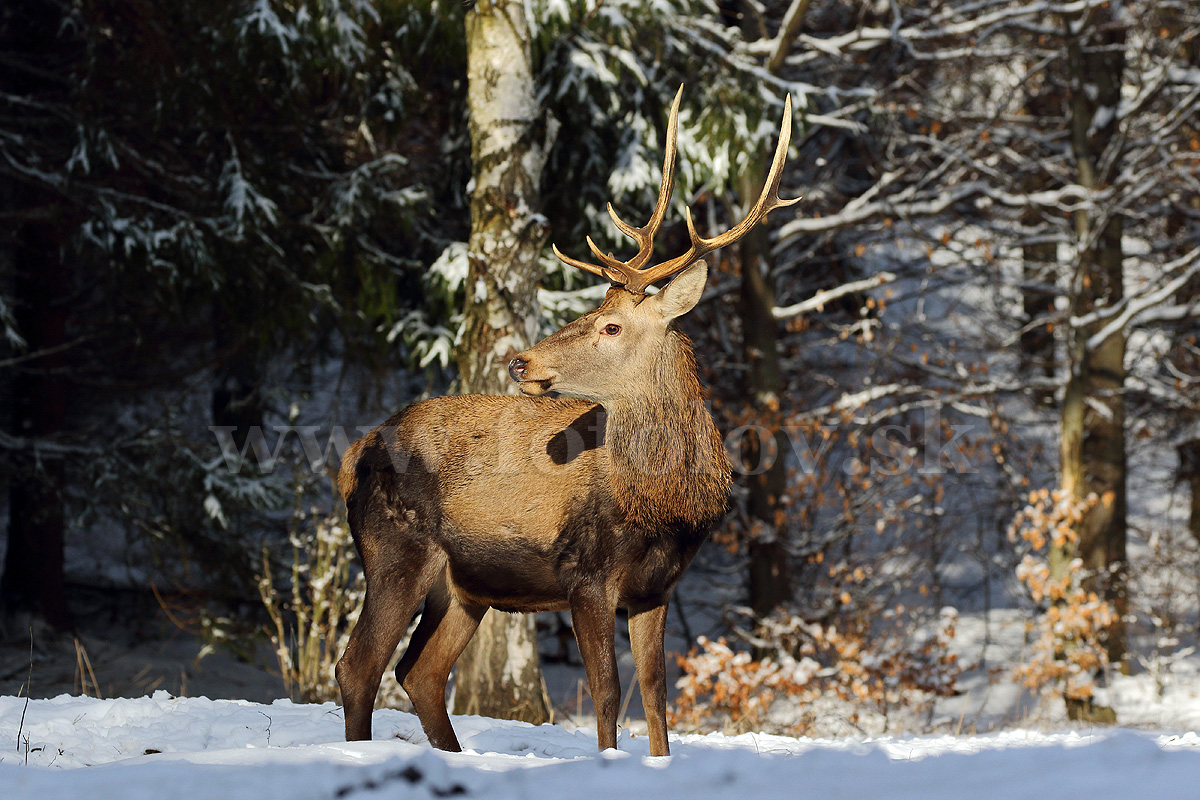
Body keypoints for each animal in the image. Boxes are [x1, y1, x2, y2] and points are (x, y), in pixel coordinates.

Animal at [333, 89, 801, 758]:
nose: (520, 360)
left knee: (418, 670)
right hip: (393, 548)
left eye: (610, 324)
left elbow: (656, 696)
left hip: (464, 585)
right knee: (359, 666)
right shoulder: (586, 576)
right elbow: (607, 695)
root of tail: (356, 453)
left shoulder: (656, 589)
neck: (664, 503)